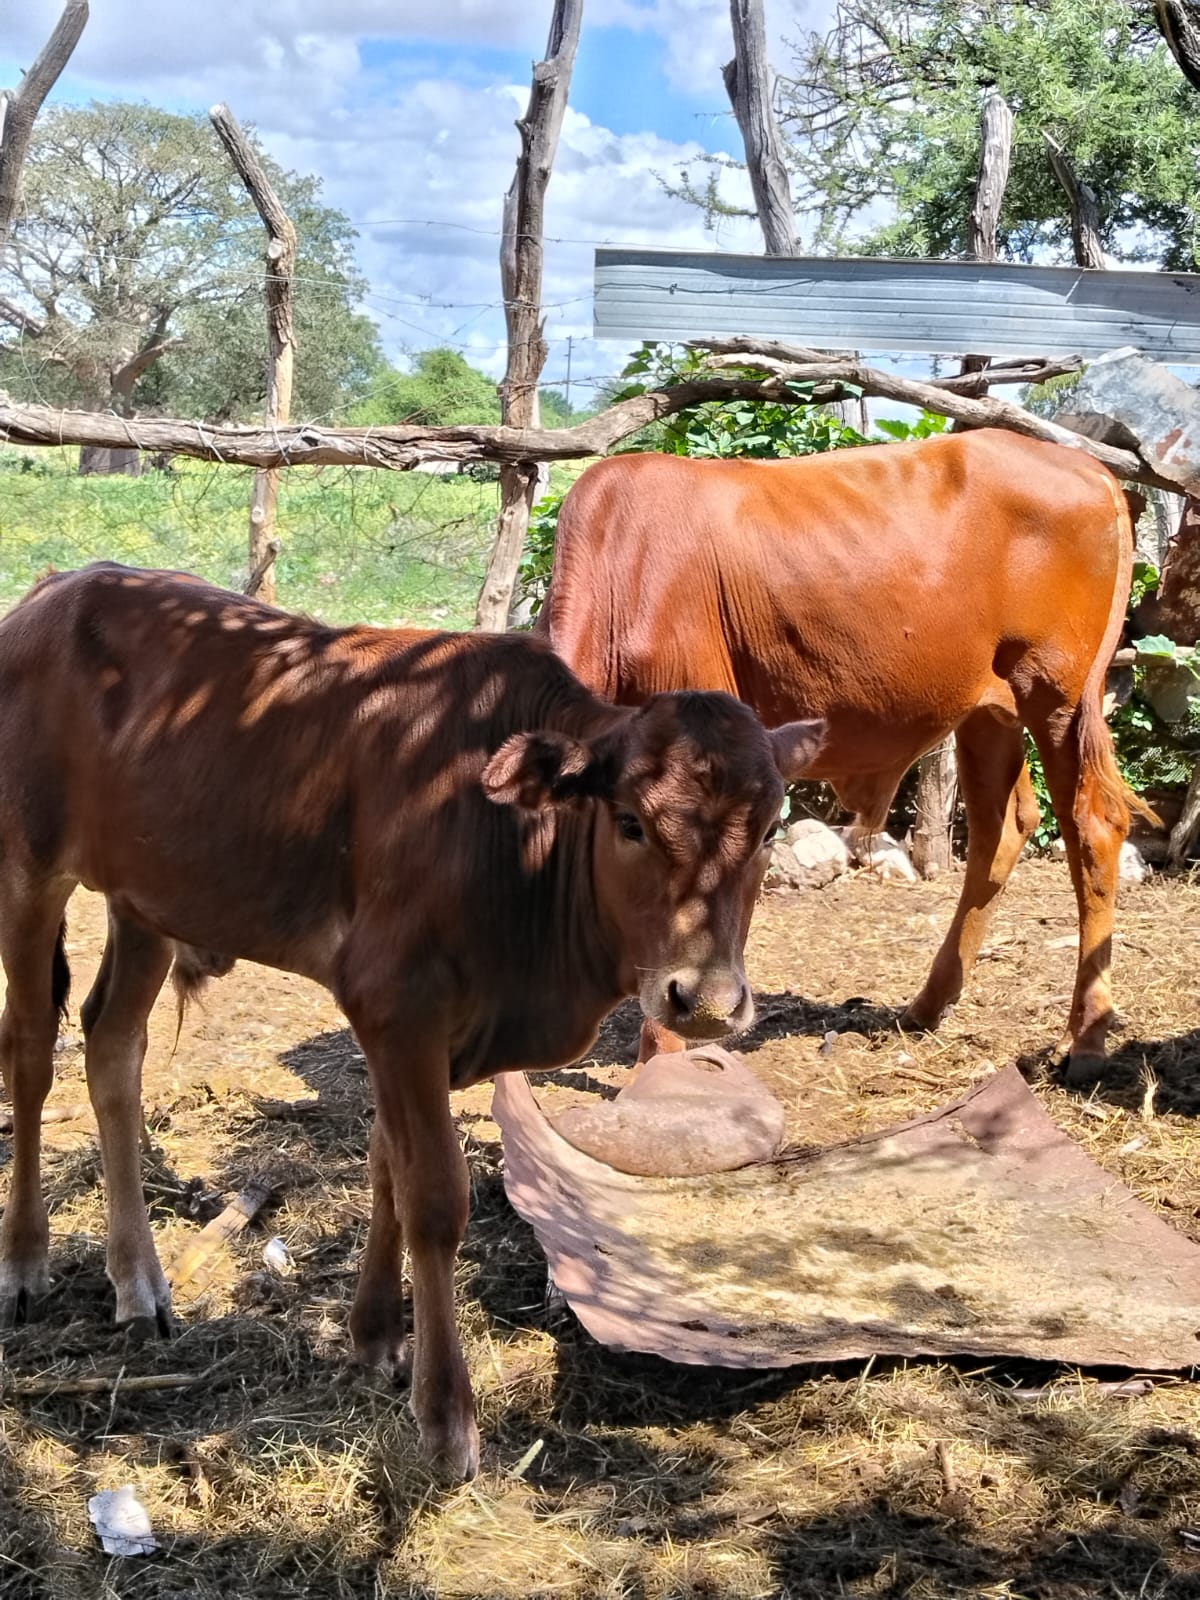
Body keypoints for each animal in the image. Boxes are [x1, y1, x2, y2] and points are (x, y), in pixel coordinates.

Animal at [0, 563, 823, 1482]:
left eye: (767, 830)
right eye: (631, 822)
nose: (704, 999)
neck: (512, 843)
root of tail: (60, 587)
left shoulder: (415, 1029)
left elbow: (386, 1162)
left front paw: (376, 1337)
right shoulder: (395, 1004)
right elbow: (433, 1194)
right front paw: (444, 1418)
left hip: (147, 895)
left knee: (112, 1047)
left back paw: (138, 1282)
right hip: (27, 866)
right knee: (29, 1048)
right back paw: (25, 1262)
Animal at [538, 428, 1148, 1083]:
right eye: (626, 827)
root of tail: (1087, 467)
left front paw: (665, 1061)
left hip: (1059, 694)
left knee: (1092, 826)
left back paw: (1087, 1038)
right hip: (990, 709)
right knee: (1000, 828)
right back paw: (928, 1004)